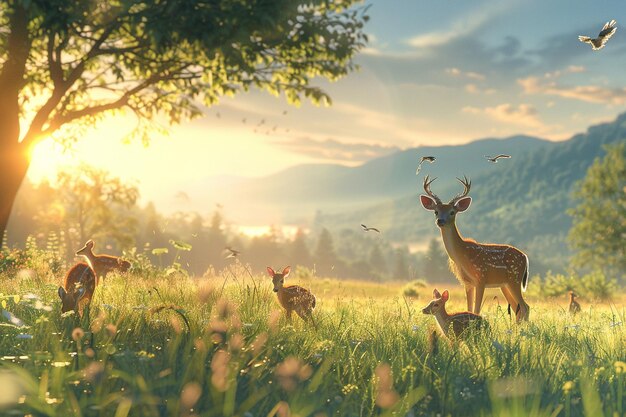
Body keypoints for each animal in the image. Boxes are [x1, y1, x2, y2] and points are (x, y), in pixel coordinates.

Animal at [416, 174, 528, 320]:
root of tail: (525, 257)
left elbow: (476, 309)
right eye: (436, 211)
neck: (462, 254)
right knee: (518, 309)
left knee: (525, 307)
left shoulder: (481, 278)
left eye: (452, 212)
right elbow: (469, 307)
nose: (440, 221)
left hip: (515, 278)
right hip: (505, 284)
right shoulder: (467, 283)